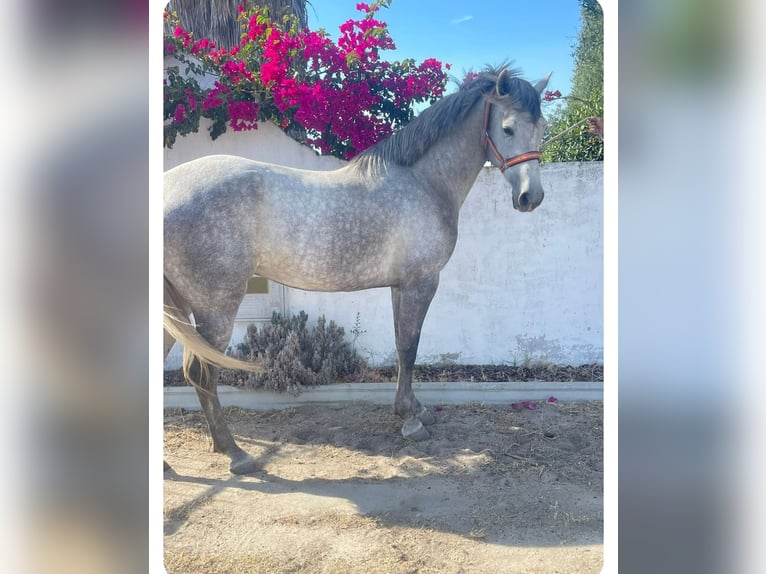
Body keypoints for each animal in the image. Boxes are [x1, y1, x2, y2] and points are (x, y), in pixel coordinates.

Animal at [164, 66, 550, 474]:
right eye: (507, 128)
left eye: (540, 126)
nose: (531, 198)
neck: (422, 182)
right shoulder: (421, 283)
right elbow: (410, 346)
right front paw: (411, 421)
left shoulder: (400, 286)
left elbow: (401, 346)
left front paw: (414, 410)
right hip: (215, 307)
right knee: (202, 372)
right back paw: (234, 452)